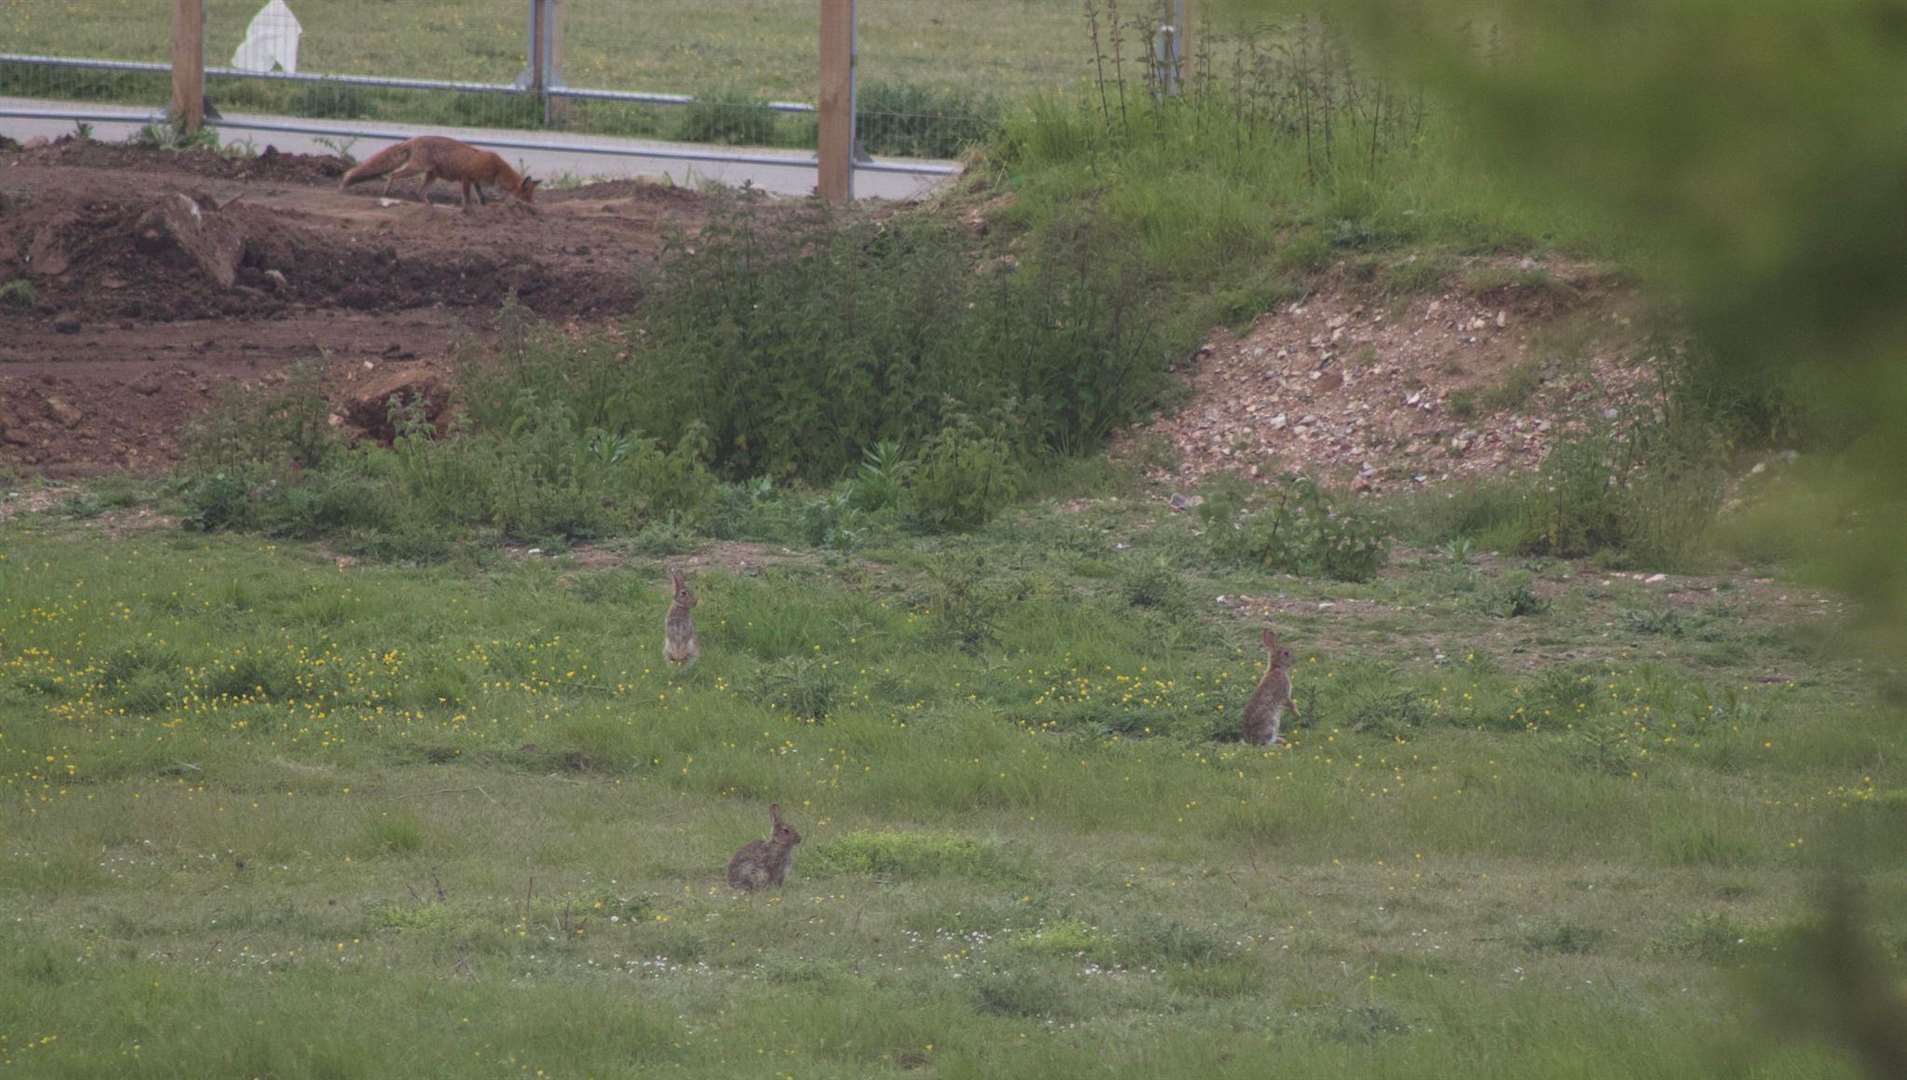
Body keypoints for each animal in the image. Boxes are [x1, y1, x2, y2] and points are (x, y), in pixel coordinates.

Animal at [337, 135, 537, 211]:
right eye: (527, 194)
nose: (533, 206)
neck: (497, 169)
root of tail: (413, 139)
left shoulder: (475, 181)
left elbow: (480, 197)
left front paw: (481, 205)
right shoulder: (466, 178)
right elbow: (467, 197)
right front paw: (467, 209)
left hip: (431, 175)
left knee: (420, 192)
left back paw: (429, 205)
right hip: (416, 169)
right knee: (393, 174)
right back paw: (386, 192)